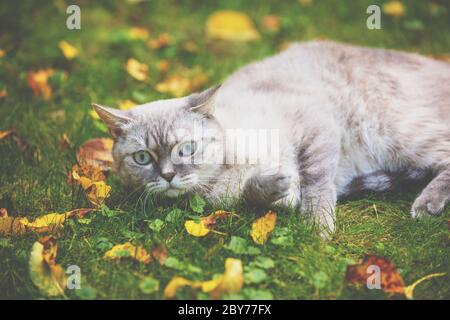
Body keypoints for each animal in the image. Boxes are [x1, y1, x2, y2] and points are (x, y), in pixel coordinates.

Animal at [93, 40, 448, 238]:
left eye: (186, 149)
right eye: (143, 158)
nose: (167, 175)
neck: (224, 174)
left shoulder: (315, 127)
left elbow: (316, 183)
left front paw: (316, 227)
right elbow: (261, 193)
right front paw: (272, 187)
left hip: (393, 133)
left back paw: (426, 205)